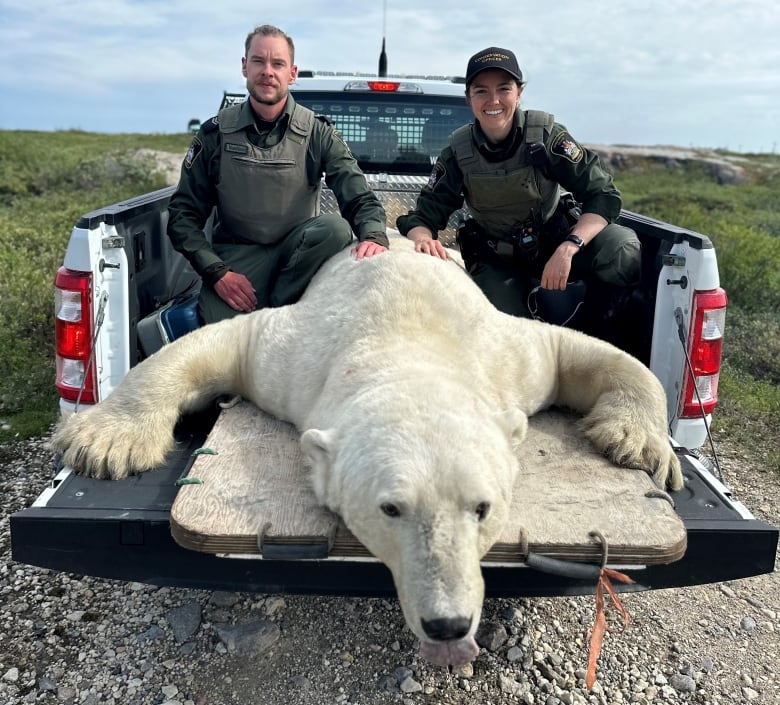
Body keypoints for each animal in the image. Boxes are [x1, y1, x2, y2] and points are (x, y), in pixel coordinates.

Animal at [51, 235, 680, 664]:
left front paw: (637, 441)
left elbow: (586, 352)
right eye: (391, 508)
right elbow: (214, 344)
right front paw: (104, 442)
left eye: (483, 507)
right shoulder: (299, 358)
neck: (407, 336)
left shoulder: (507, 354)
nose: (448, 625)